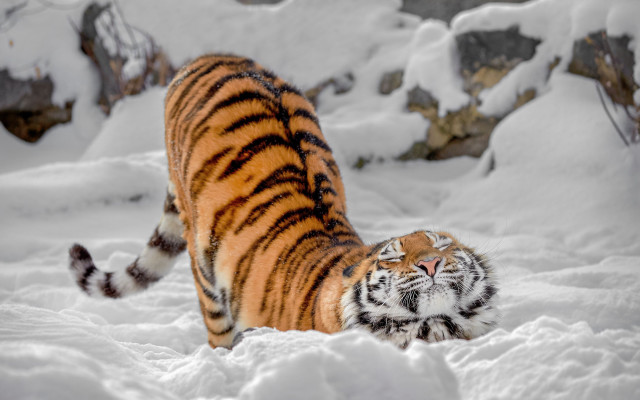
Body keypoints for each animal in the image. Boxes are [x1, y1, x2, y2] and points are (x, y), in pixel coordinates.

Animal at [69, 54, 499, 349]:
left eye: (442, 245)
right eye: (392, 257)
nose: (430, 263)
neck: (433, 326)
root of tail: (210, 57)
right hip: (204, 268)